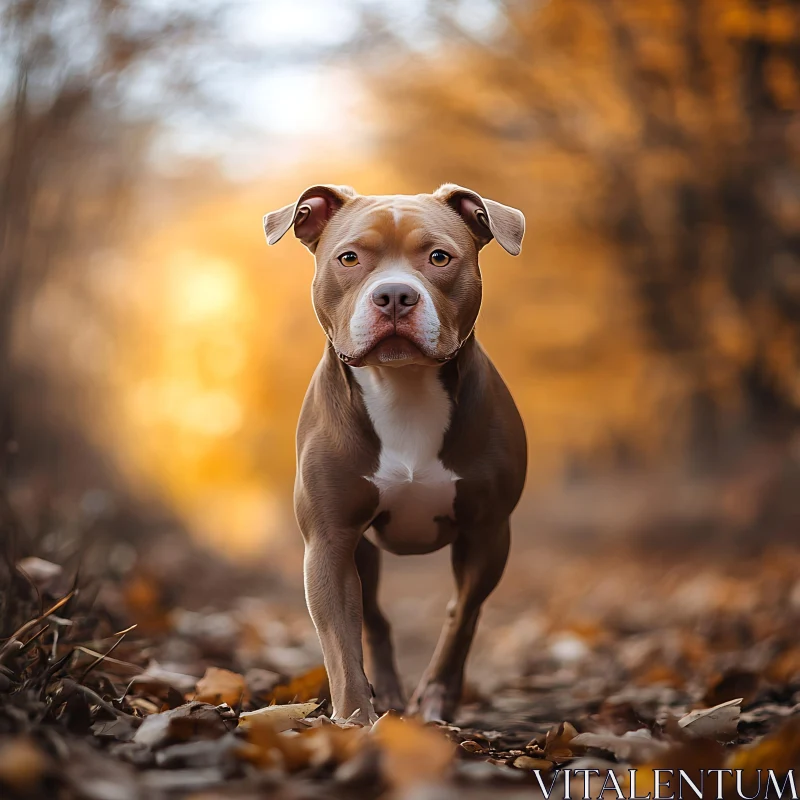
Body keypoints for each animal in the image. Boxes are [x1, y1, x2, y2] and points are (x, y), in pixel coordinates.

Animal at [266, 186, 528, 724]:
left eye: (439, 257)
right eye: (349, 258)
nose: (393, 295)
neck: (403, 385)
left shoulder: (488, 533)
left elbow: (461, 617)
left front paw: (436, 697)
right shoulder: (329, 541)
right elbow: (341, 642)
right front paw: (353, 720)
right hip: (360, 551)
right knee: (373, 618)